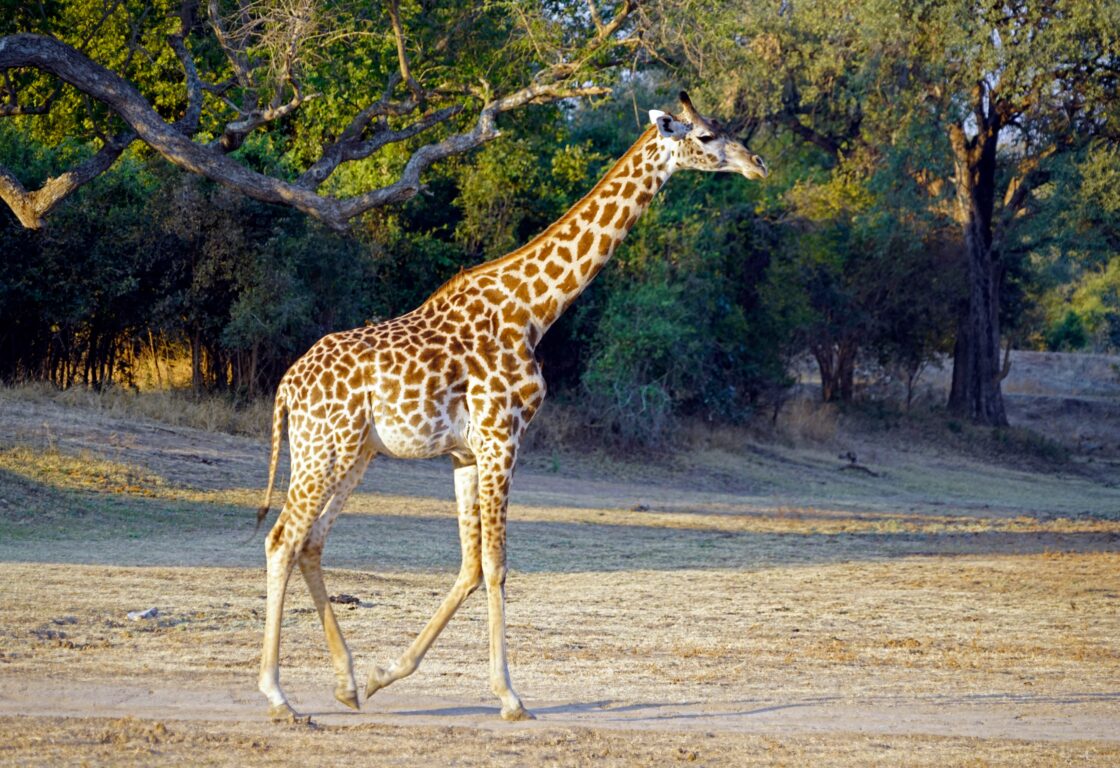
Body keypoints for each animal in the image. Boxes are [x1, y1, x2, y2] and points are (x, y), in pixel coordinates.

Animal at [255, 91, 768, 723]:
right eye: (705, 135)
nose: (756, 164)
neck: (533, 311)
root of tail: (287, 386)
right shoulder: (503, 438)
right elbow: (498, 565)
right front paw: (510, 697)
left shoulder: (465, 454)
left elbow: (471, 565)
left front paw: (382, 676)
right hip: (323, 449)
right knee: (282, 539)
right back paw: (278, 697)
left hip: (354, 454)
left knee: (311, 542)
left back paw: (347, 683)